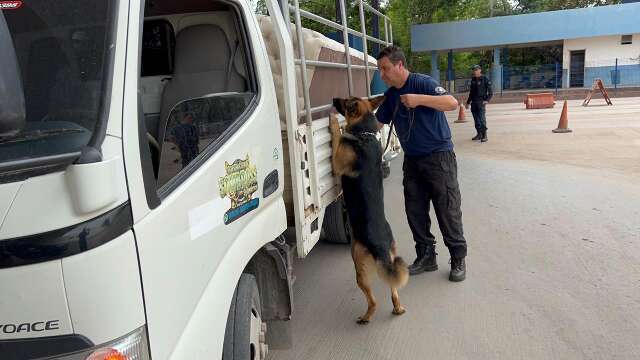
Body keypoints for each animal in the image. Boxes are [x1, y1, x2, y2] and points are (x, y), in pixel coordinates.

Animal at [330, 95, 410, 324]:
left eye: (345, 102)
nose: (333, 99)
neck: (363, 134)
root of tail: (380, 246)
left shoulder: (337, 163)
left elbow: (337, 137)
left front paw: (333, 123)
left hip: (358, 267)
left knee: (373, 301)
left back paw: (366, 317)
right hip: (390, 258)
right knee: (393, 289)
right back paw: (398, 308)